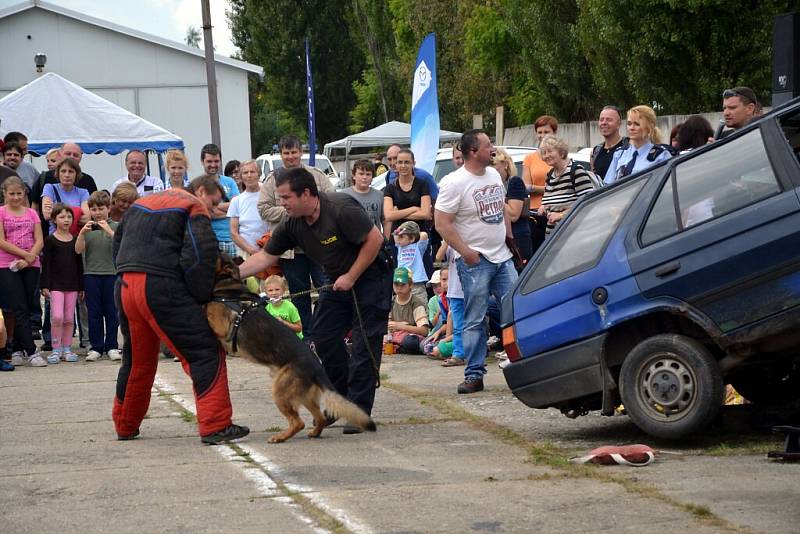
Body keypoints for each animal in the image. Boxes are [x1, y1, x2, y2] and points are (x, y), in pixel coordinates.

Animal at [209, 255, 378, 444]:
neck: (228, 287)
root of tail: (318, 368)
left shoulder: (219, 325)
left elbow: (205, 308)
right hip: (304, 397)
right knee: (319, 418)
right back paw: (314, 433)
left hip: (280, 392)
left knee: (298, 423)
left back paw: (280, 437)